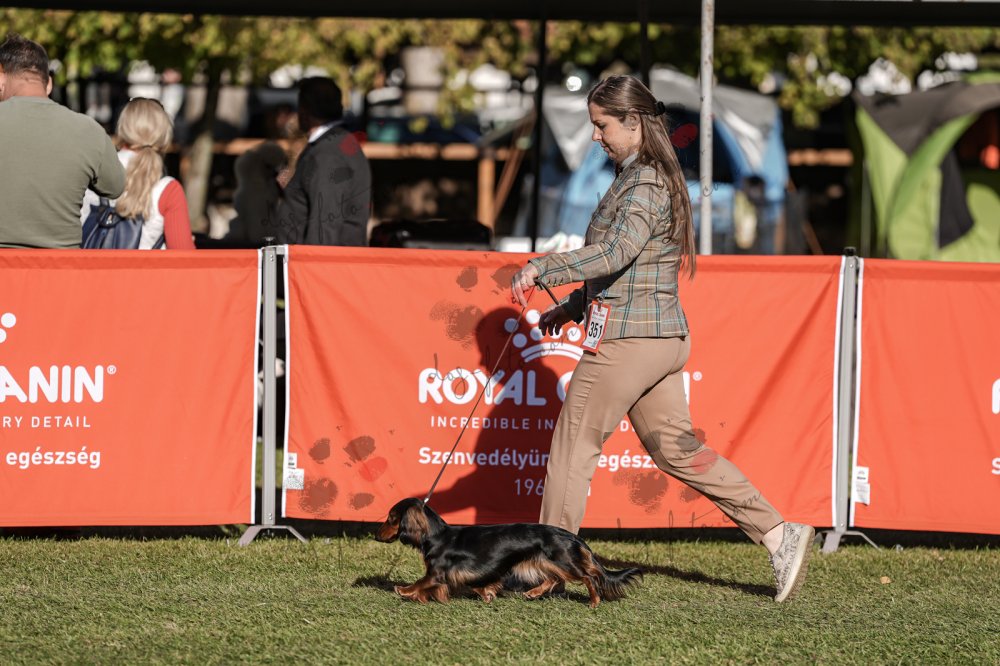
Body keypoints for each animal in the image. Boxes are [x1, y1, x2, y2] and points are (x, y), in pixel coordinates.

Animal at [374, 498, 642, 608]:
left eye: (391, 517)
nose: (376, 536)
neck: (437, 536)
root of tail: (570, 534)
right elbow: (479, 584)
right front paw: (487, 595)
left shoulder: (437, 573)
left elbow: (421, 582)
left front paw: (404, 590)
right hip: (543, 560)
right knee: (553, 579)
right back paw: (533, 593)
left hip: (562, 560)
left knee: (588, 577)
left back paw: (594, 601)